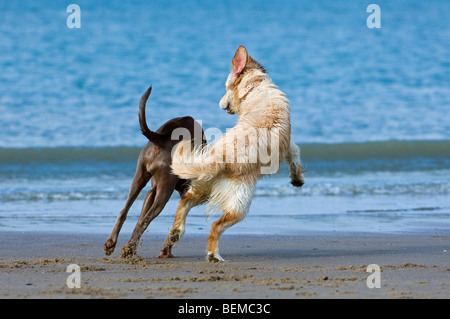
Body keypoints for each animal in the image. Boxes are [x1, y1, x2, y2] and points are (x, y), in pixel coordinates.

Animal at [103, 86, 206, 258]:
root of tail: (161, 138)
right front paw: (166, 249)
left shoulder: (153, 190)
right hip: (164, 190)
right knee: (146, 218)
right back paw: (128, 248)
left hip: (140, 177)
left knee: (126, 212)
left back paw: (114, 244)